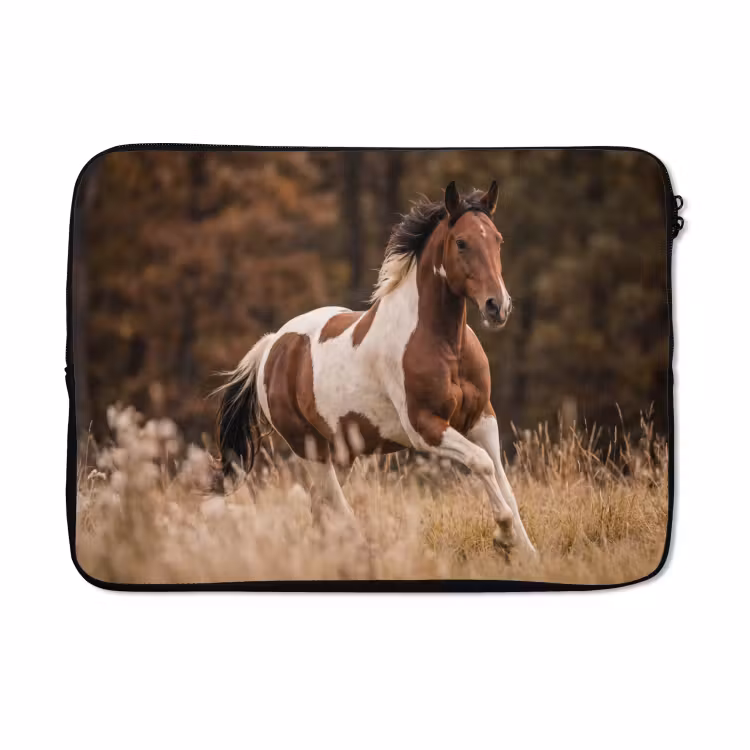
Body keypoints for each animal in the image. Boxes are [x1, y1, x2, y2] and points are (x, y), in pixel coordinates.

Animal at [215, 180, 536, 555]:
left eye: (498, 239)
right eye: (461, 242)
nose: (497, 306)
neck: (445, 345)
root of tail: (272, 345)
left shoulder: (482, 418)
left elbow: (502, 480)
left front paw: (527, 552)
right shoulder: (425, 428)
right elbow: (481, 464)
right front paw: (503, 535)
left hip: (342, 451)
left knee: (319, 506)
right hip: (309, 447)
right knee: (332, 504)